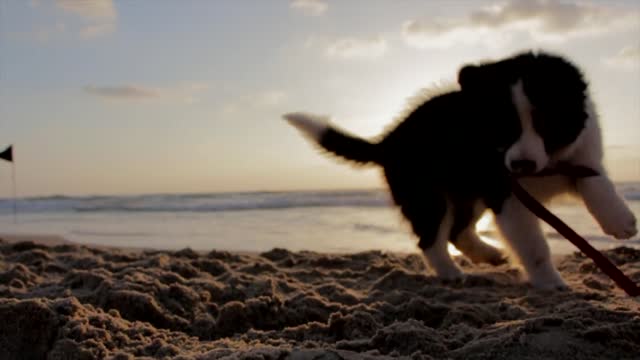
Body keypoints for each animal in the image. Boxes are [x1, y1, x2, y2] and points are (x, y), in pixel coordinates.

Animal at [284, 49, 636, 290]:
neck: (547, 164)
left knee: (457, 230)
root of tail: (390, 139)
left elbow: (597, 182)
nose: (521, 165)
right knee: (431, 238)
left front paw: (620, 220)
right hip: (428, 196)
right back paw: (451, 273)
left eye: (546, 123)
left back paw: (488, 254)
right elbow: (534, 244)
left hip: (468, 191)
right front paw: (550, 282)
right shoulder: (506, 193)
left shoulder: (581, 157)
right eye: (501, 127)